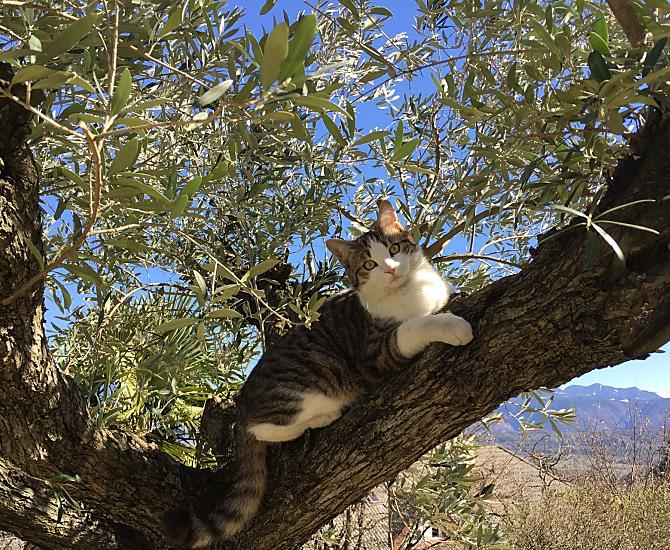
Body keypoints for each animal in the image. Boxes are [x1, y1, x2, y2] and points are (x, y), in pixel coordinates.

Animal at [166, 199, 473, 548]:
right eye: (369, 264)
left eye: (395, 248)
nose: (391, 269)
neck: (412, 292)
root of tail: (242, 403)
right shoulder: (377, 351)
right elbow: (417, 326)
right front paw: (452, 325)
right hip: (309, 381)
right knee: (265, 426)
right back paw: (322, 416)